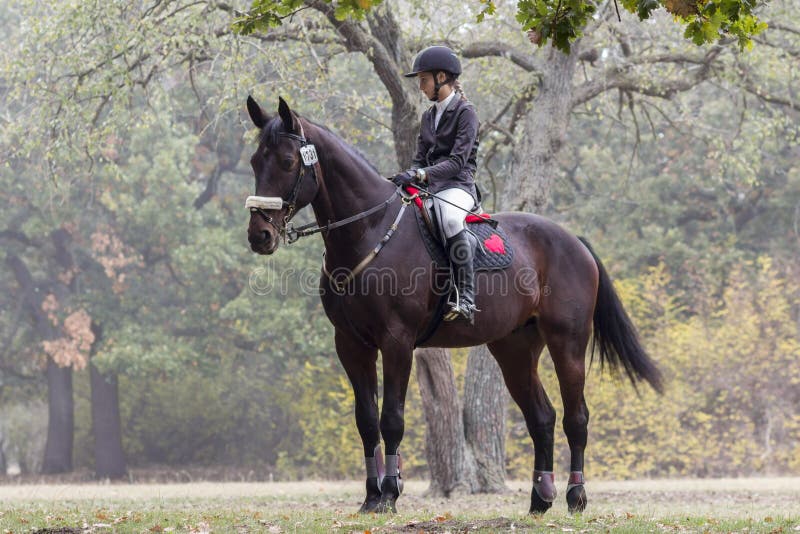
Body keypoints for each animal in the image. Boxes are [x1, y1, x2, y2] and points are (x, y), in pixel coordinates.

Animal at [244, 95, 664, 516]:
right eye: (254, 161)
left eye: (287, 161)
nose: (259, 235)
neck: (370, 231)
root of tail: (573, 240)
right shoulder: (351, 344)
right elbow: (366, 420)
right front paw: (370, 497)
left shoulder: (396, 342)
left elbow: (391, 418)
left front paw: (390, 494)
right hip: (514, 349)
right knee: (541, 417)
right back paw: (539, 501)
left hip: (568, 342)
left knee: (576, 417)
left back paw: (575, 496)